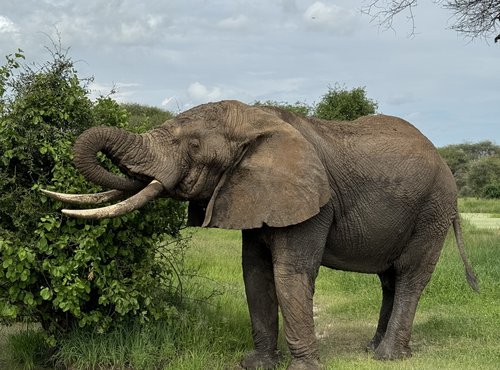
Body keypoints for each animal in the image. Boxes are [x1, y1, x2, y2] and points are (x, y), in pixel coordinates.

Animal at [44, 99, 480, 370]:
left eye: (194, 145)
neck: (259, 119)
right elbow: (254, 273)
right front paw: (255, 364)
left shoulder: (312, 201)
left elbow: (289, 274)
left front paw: (303, 367)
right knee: (389, 279)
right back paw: (374, 348)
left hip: (432, 210)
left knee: (409, 277)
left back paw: (387, 357)